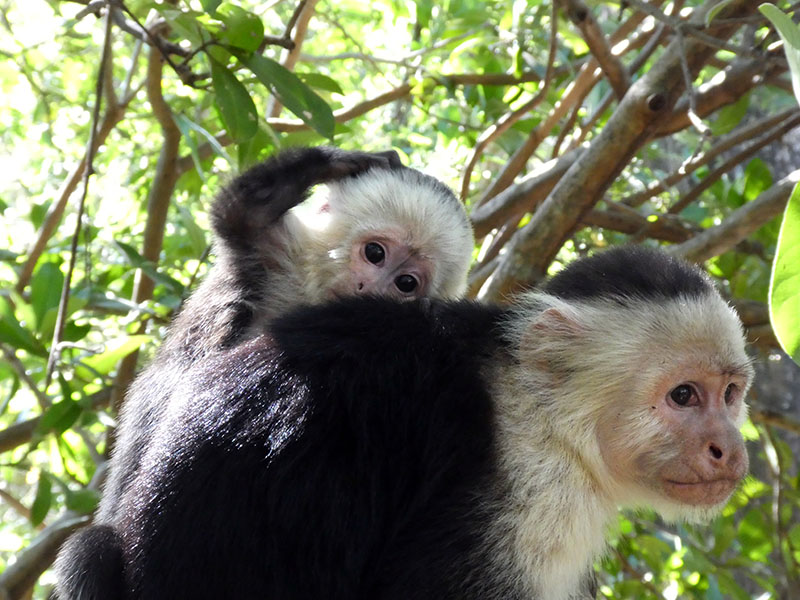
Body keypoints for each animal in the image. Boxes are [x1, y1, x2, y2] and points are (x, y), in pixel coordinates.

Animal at [54, 145, 476, 600]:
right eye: (375, 253)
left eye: (406, 283)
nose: (371, 290)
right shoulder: (278, 257)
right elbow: (239, 215)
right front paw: (340, 160)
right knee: (90, 550)